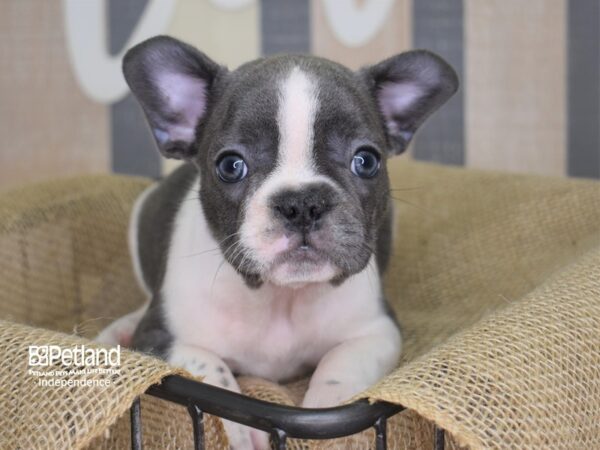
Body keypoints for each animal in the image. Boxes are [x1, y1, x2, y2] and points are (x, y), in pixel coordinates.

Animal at [98, 36, 458, 450]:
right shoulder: (162, 340)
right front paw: (242, 430)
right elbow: (214, 375)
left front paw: (327, 407)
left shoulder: (377, 331)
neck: (281, 297)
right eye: (230, 166)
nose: (302, 203)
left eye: (366, 161)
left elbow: (342, 364)